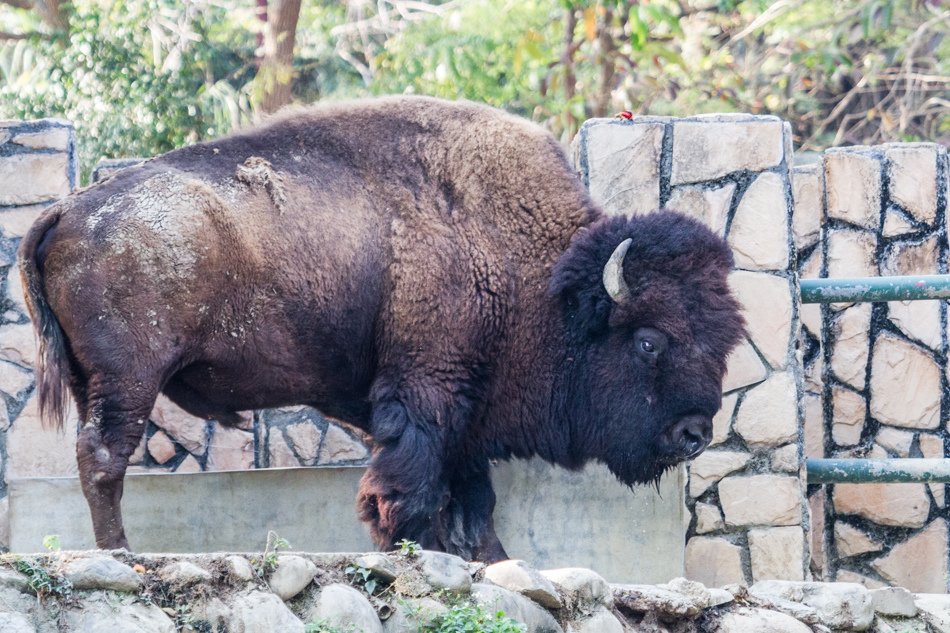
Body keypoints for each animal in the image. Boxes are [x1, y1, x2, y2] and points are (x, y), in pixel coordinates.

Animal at [16, 96, 744, 560]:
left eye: (726, 340)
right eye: (650, 339)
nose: (694, 434)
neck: (543, 279)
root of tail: (69, 209)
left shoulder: (461, 409)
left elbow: (471, 494)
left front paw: (488, 557)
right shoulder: (426, 388)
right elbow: (414, 481)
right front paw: (413, 545)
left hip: (93, 379)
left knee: (96, 456)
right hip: (130, 377)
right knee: (104, 456)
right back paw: (122, 552)